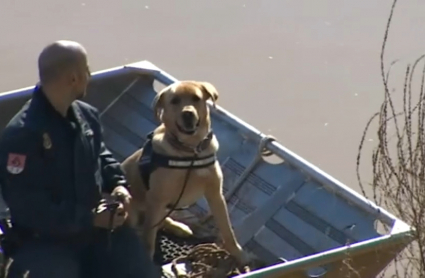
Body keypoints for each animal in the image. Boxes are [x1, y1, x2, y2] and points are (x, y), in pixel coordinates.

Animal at [121, 81, 247, 264]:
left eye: (196, 98)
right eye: (174, 101)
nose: (188, 114)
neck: (190, 151)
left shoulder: (215, 195)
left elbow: (227, 229)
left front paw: (238, 254)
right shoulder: (157, 198)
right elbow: (149, 239)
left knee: (161, 221)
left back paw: (178, 227)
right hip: (130, 207)